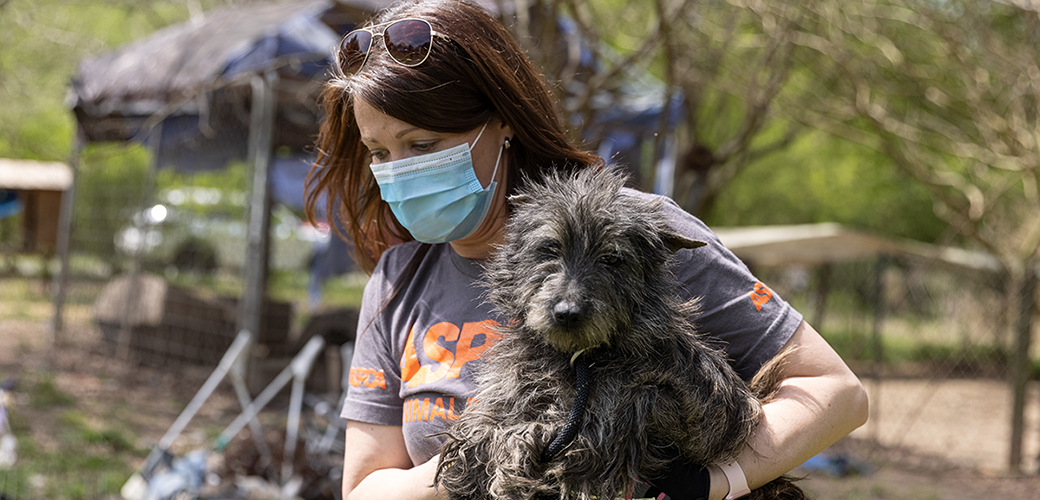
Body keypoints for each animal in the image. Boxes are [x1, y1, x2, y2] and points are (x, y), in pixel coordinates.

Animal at [436, 168, 802, 498]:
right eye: (550, 248)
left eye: (612, 258)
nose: (567, 314)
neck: (579, 360)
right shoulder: (508, 393)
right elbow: (482, 429)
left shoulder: (607, 422)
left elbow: (539, 435)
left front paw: (513, 462)